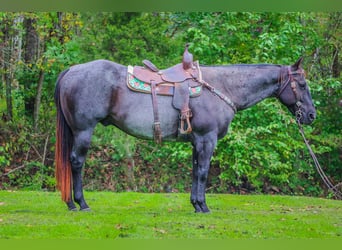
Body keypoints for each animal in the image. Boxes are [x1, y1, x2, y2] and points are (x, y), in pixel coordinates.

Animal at [55, 49, 316, 213]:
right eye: (302, 85)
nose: (312, 115)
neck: (222, 87)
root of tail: (72, 70)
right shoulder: (207, 139)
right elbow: (202, 172)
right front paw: (203, 206)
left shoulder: (196, 141)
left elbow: (194, 171)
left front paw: (195, 204)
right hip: (83, 131)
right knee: (76, 162)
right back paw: (81, 203)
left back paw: (71, 204)